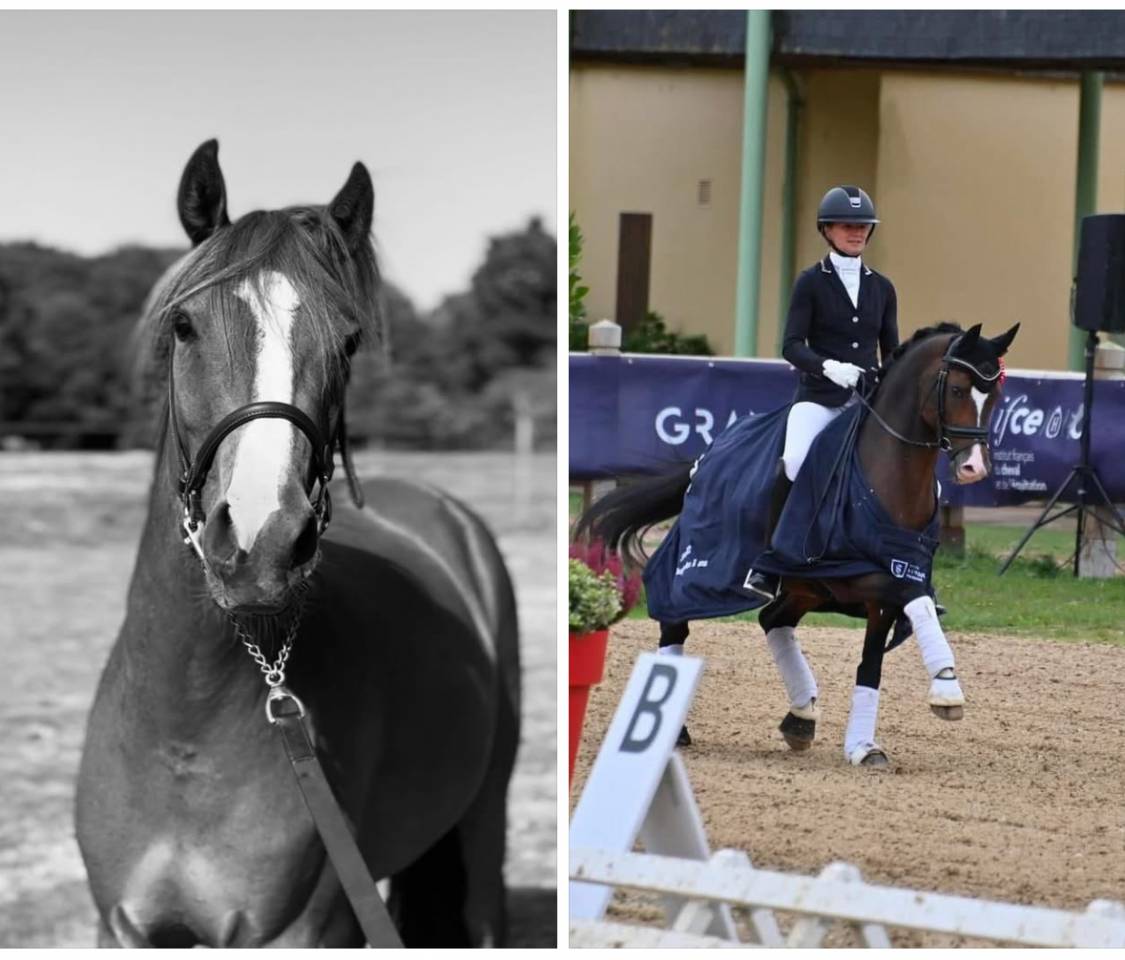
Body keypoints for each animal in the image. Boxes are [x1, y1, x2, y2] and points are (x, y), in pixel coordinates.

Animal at [74, 140, 520, 947]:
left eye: (348, 339)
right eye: (184, 326)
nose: (263, 539)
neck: (184, 731)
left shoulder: (301, 932)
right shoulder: (120, 926)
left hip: (483, 822)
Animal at [576, 321, 1019, 767]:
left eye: (995, 396)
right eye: (958, 390)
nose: (973, 467)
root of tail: (707, 454)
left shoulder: (885, 590)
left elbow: (872, 663)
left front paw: (863, 746)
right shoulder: (861, 574)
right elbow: (916, 598)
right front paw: (947, 687)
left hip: (804, 588)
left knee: (773, 620)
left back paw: (801, 715)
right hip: (701, 568)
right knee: (675, 621)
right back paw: (673, 728)